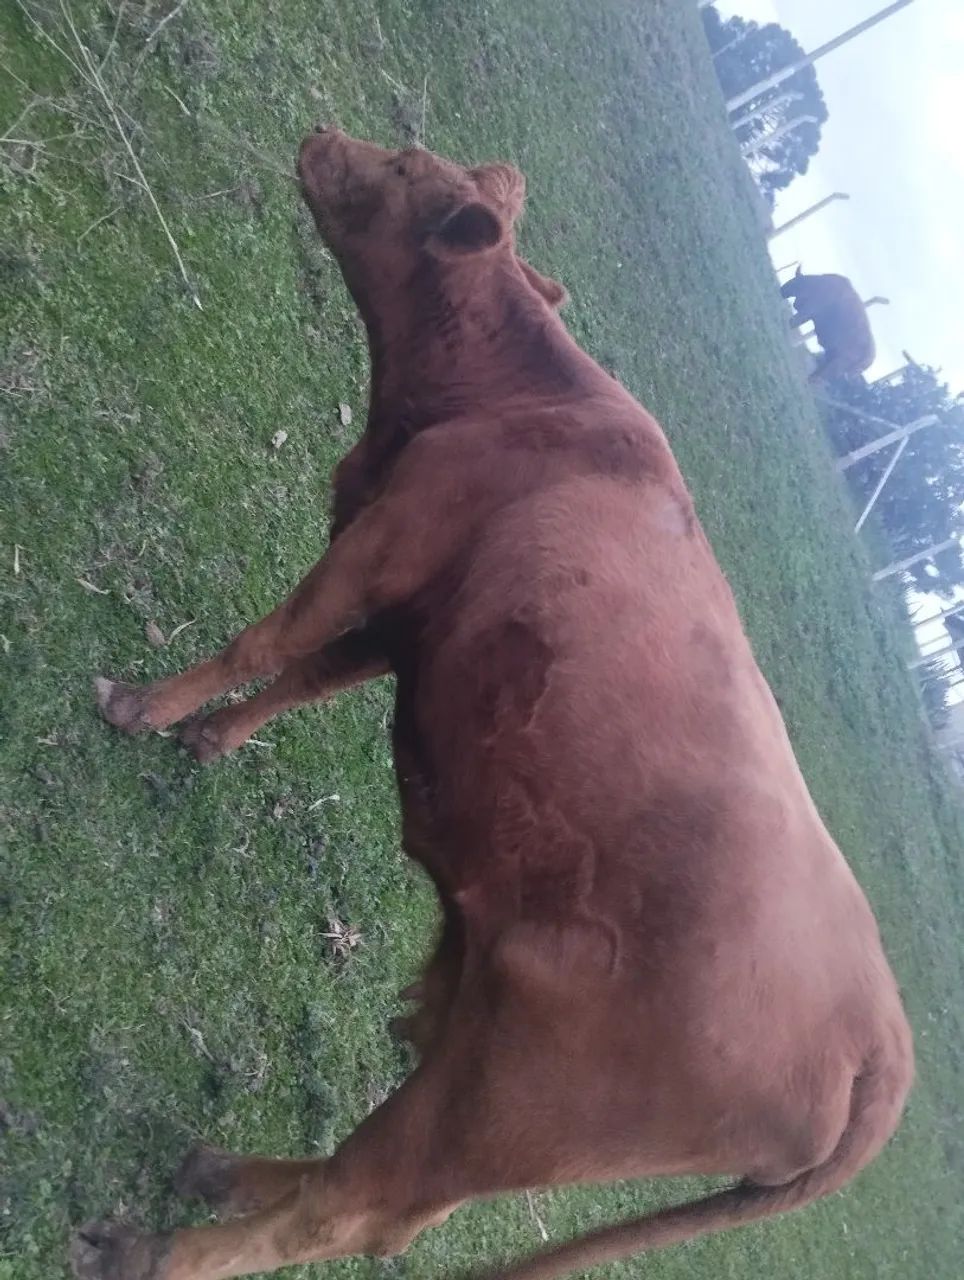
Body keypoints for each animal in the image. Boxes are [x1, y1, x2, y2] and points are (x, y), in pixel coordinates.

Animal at [75, 128, 913, 1280]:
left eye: (403, 166)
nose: (322, 137)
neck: (509, 400)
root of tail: (883, 1045)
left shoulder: (381, 544)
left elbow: (272, 636)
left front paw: (146, 708)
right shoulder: (409, 611)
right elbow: (309, 671)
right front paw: (210, 734)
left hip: (504, 1104)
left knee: (353, 1211)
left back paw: (155, 1248)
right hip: (474, 1042)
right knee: (383, 1203)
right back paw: (222, 1174)